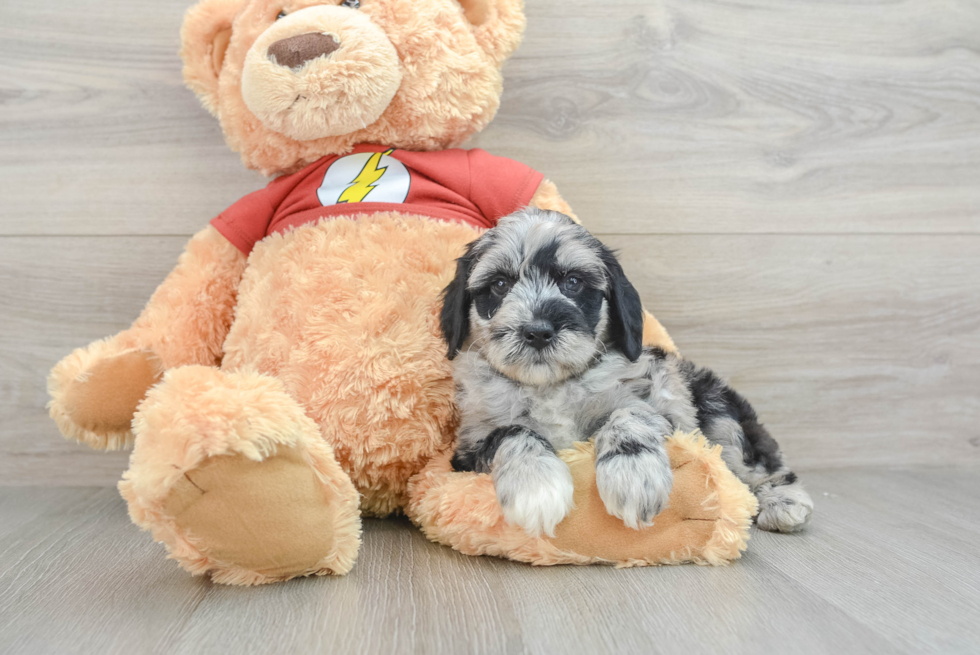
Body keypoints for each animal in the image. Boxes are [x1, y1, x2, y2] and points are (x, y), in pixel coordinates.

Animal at [440, 209, 816, 540]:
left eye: (573, 282)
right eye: (499, 284)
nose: (538, 331)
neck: (550, 386)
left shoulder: (658, 407)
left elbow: (628, 415)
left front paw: (634, 475)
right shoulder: (469, 448)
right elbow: (512, 432)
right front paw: (535, 484)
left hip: (718, 412)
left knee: (759, 464)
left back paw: (783, 502)